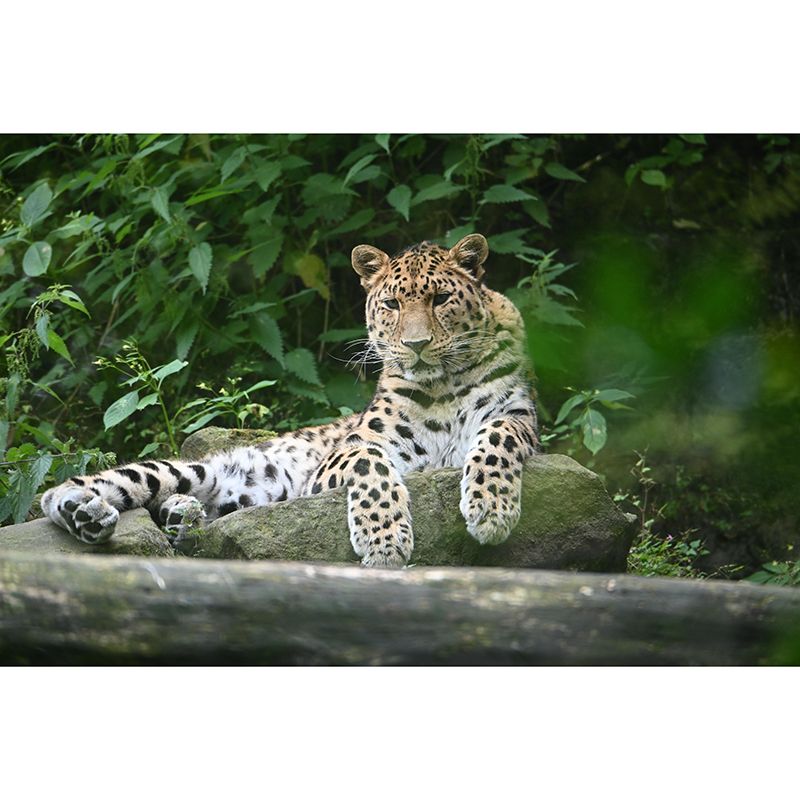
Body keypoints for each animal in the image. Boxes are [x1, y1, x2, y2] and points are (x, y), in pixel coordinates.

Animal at [41, 233, 539, 567]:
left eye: (440, 299)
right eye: (392, 305)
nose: (415, 345)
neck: (440, 389)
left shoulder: (519, 417)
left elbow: (498, 435)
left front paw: (491, 509)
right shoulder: (338, 459)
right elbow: (371, 462)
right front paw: (383, 539)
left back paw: (183, 517)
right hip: (188, 469)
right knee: (75, 488)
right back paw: (87, 512)